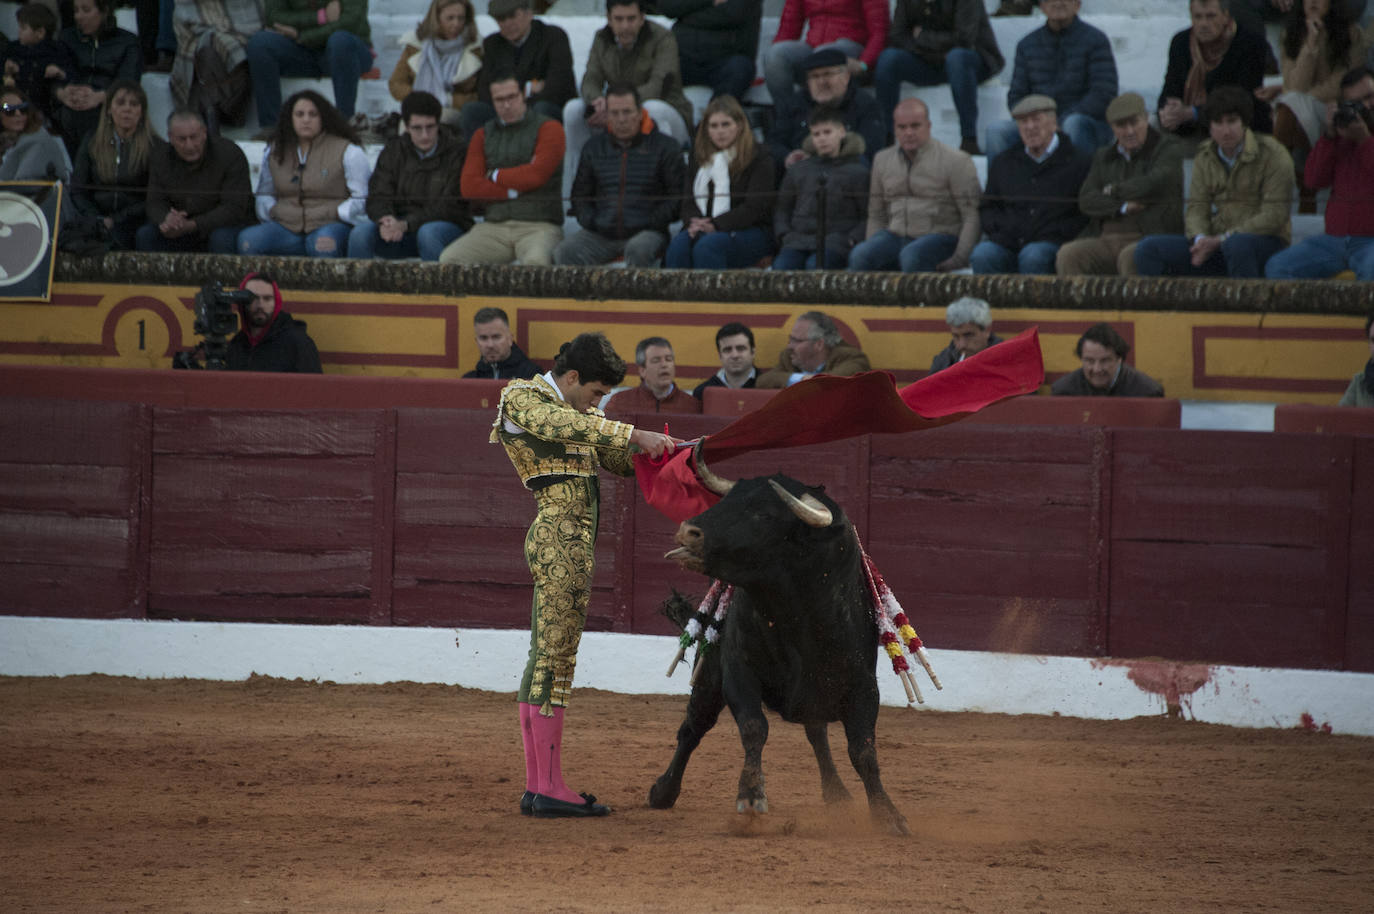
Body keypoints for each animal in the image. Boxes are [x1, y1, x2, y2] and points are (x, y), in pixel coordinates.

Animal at [656, 470, 912, 835]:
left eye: (763, 515)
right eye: (726, 499)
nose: (687, 531)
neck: (795, 613)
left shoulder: (863, 687)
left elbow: (863, 751)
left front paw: (888, 815)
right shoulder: (739, 672)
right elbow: (754, 727)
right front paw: (750, 797)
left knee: (817, 734)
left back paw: (837, 795)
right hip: (709, 679)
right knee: (694, 727)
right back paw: (663, 791)